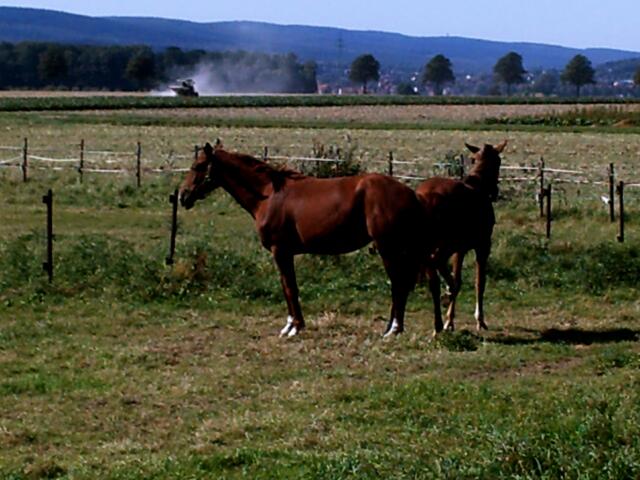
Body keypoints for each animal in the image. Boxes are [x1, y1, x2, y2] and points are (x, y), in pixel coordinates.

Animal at [179, 141, 430, 337]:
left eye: (198, 166)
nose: (182, 195)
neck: (269, 194)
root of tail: (411, 193)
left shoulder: (280, 251)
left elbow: (290, 288)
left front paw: (294, 327)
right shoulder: (284, 253)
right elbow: (287, 286)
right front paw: (292, 325)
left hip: (389, 249)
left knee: (398, 284)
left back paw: (394, 329)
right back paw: (390, 327)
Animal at [416, 140, 506, 333]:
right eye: (499, 161)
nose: (495, 192)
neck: (478, 187)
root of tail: (428, 196)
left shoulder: (460, 250)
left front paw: (449, 320)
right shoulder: (482, 246)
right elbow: (480, 282)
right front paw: (480, 320)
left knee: (433, 279)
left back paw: (438, 323)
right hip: (446, 245)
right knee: (436, 264)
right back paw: (447, 292)